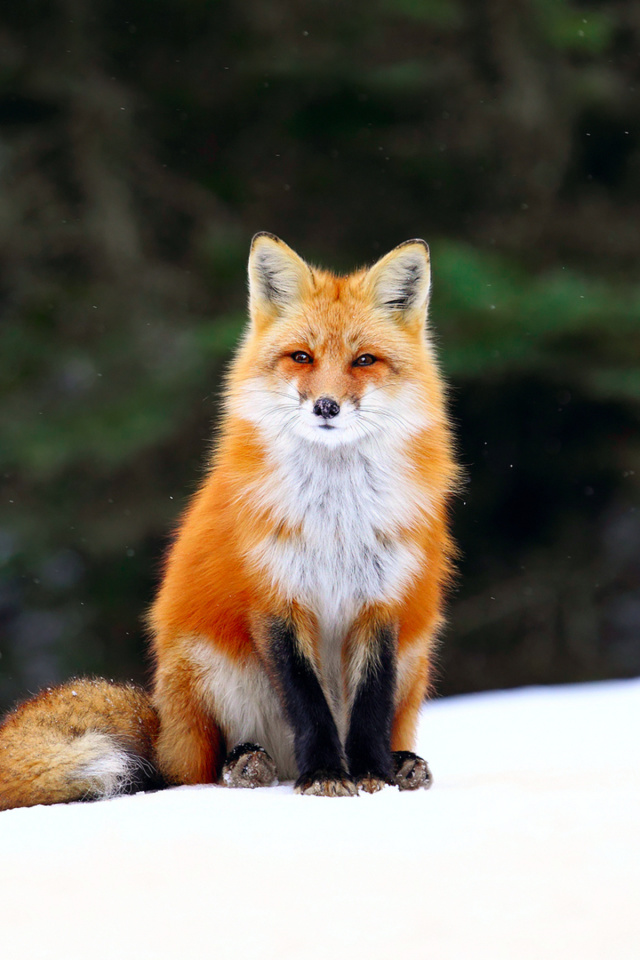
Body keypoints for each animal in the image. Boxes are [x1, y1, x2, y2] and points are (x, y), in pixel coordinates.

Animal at [1, 234, 460, 808]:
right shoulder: (275, 598)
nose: (326, 406)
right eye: (302, 356)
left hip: (415, 660)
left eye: (364, 360)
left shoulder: (382, 602)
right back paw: (246, 765)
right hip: (207, 669)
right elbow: (307, 703)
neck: (335, 521)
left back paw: (403, 764)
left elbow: (370, 708)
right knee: (193, 771)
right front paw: (325, 775)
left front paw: (372, 774)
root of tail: (163, 727)